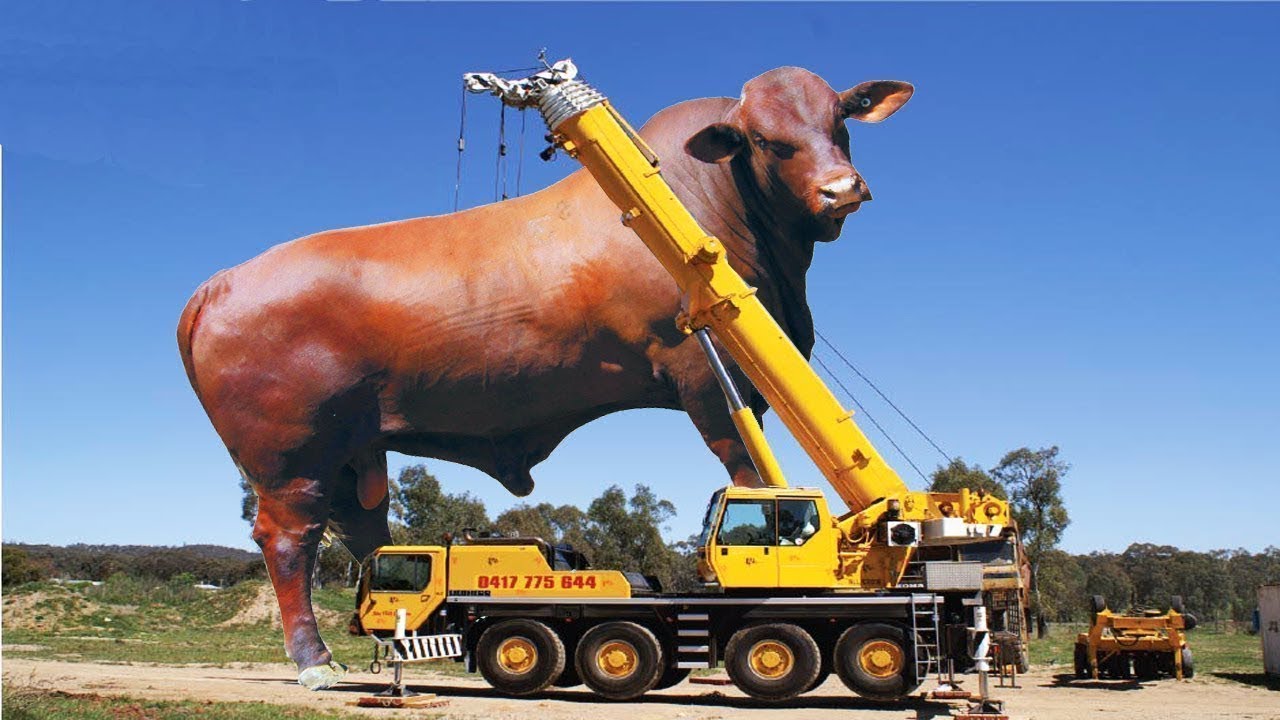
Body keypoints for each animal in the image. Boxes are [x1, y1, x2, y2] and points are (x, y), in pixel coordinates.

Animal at [177, 67, 912, 689]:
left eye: (839, 121)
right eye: (766, 140)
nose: (842, 188)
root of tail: (220, 283)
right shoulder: (710, 381)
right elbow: (752, 476)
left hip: (357, 451)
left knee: (368, 533)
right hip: (290, 457)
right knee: (290, 541)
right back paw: (315, 661)